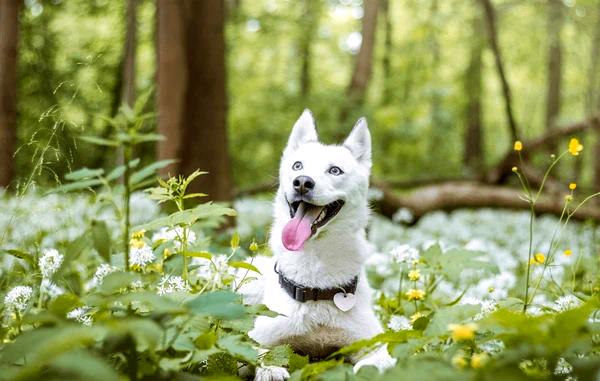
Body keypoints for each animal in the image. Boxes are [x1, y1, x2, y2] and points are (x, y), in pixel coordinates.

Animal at [241, 108, 396, 378]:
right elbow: (257, 350)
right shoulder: (258, 335)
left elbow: (373, 363)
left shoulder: (373, 345)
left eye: (335, 170)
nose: (302, 182)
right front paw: (271, 370)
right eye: (298, 165)